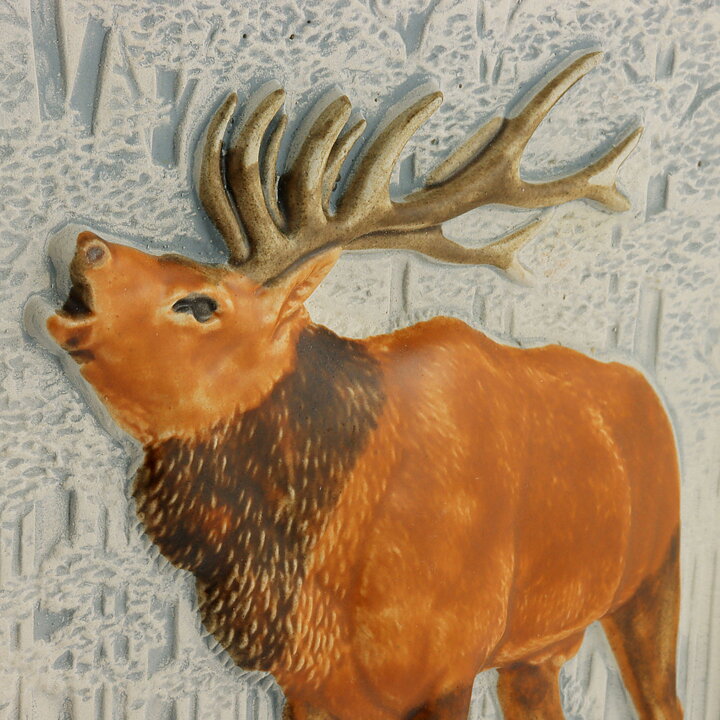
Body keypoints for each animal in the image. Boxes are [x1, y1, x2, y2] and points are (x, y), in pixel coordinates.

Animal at [37, 52, 682, 719]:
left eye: (200, 303)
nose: (86, 244)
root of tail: (647, 389)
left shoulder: (448, 664)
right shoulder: (310, 685)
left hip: (656, 577)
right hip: (539, 648)